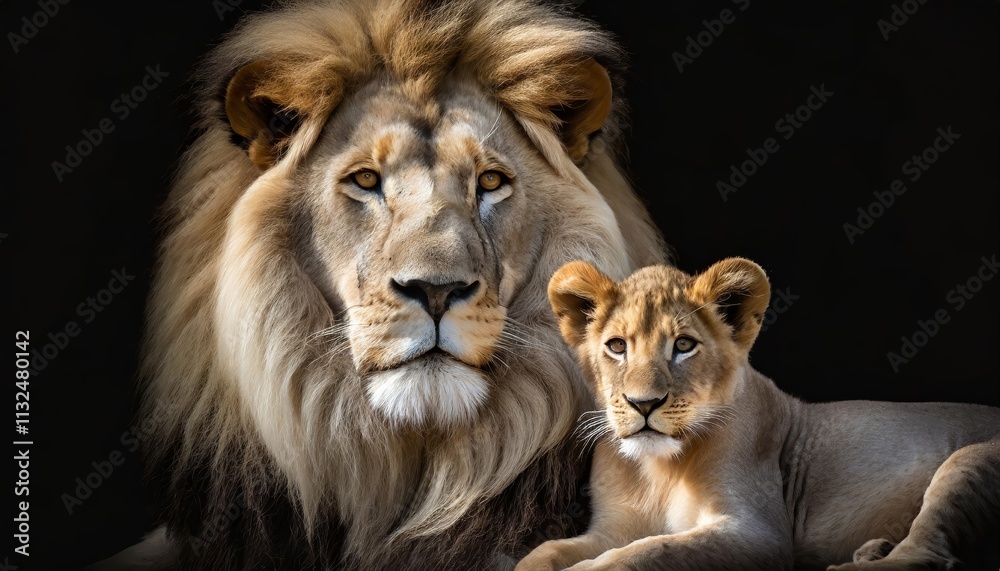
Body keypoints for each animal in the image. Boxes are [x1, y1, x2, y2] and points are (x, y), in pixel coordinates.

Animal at [516, 259, 1000, 570]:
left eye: (684, 345)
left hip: (970, 461)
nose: (644, 403)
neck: (658, 470)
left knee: (931, 556)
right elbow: (546, 551)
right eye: (617, 346)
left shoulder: (760, 533)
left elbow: (651, 551)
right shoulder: (612, 528)